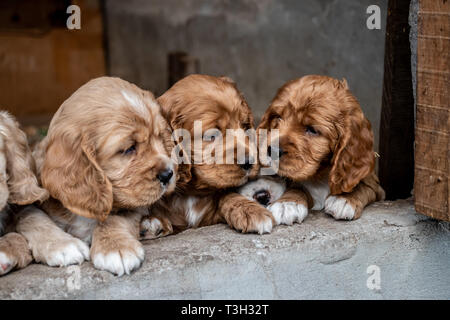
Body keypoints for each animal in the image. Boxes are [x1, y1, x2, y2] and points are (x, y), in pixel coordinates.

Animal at [14, 77, 176, 276]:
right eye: (128, 148)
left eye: (160, 137)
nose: (168, 174)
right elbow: (30, 215)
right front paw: (61, 245)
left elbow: (114, 218)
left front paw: (115, 248)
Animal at [141, 73, 274, 238]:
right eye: (211, 135)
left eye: (245, 126)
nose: (249, 162)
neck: (191, 193)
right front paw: (151, 221)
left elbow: (225, 194)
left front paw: (250, 210)